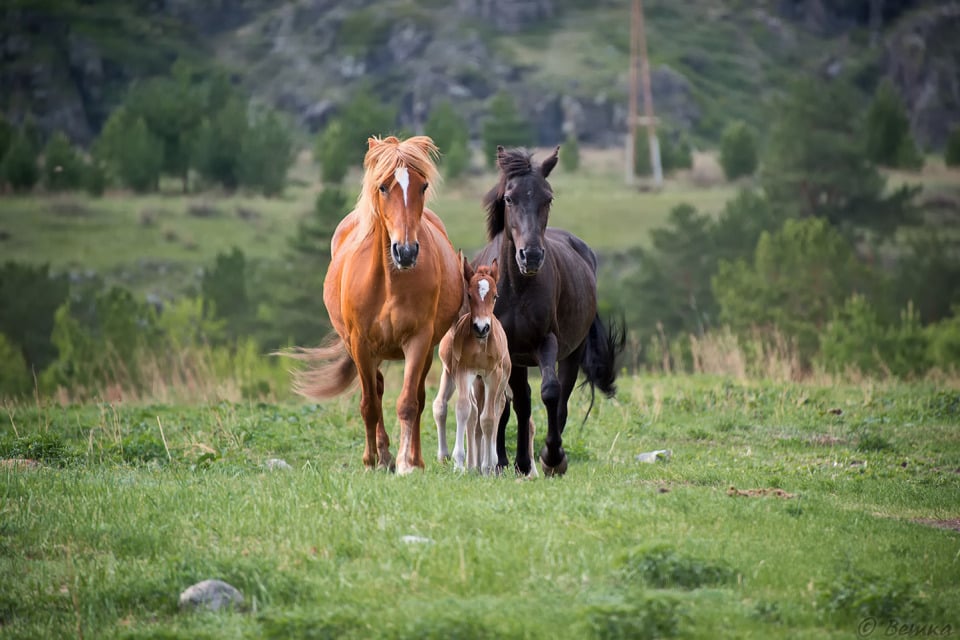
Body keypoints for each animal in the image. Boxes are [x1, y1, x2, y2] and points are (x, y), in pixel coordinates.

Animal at [284, 135, 462, 476]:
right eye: (382, 187)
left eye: (423, 185)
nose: (406, 252)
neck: (390, 281)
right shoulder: (360, 344)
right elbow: (368, 405)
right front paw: (371, 460)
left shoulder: (419, 341)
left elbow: (408, 402)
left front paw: (408, 463)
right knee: (376, 392)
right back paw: (383, 456)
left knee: (417, 396)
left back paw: (409, 457)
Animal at [470, 145, 624, 476]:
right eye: (509, 198)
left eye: (548, 198)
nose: (531, 256)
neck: (517, 288)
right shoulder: (509, 350)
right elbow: (517, 403)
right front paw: (513, 461)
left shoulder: (546, 342)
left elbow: (550, 392)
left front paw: (551, 457)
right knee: (510, 401)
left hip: (572, 352)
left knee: (560, 399)